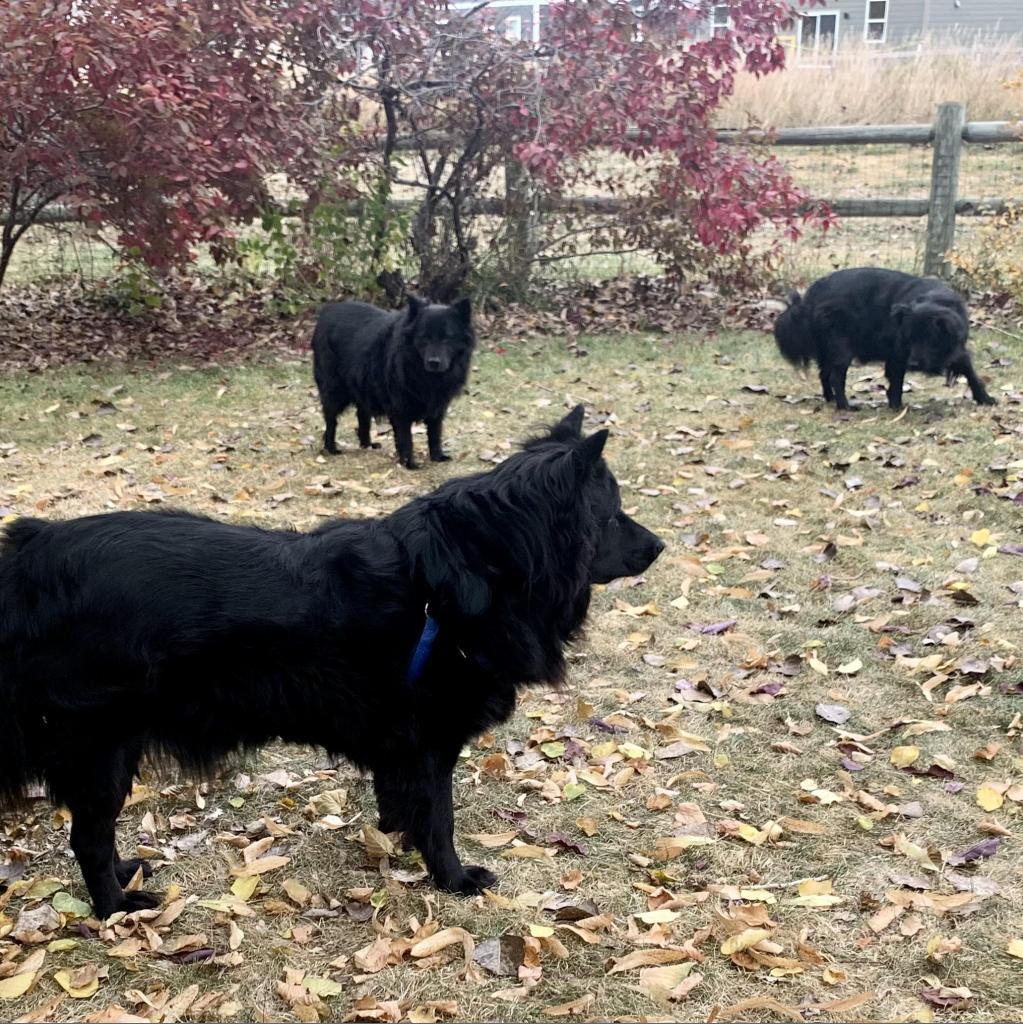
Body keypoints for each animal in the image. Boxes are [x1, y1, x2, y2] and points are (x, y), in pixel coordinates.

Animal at [0, 405, 663, 921]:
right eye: (613, 514)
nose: (659, 546)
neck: (472, 569)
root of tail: (30, 556)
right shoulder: (430, 743)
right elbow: (441, 818)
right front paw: (452, 878)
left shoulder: (401, 747)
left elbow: (403, 805)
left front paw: (398, 843)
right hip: (102, 746)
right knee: (87, 836)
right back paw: (115, 907)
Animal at [311, 294, 475, 468]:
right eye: (423, 337)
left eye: (447, 338)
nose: (433, 362)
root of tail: (326, 311)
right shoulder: (400, 409)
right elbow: (405, 438)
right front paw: (409, 463)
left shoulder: (438, 408)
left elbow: (435, 433)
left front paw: (437, 456)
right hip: (334, 391)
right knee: (331, 421)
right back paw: (331, 448)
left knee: (362, 414)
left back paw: (367, 444)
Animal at [770, 268, 995, 411]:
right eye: (910, 338)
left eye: (930, 339)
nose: (914, 364)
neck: (934, 300)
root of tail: (809, 298)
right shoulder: (898, 354)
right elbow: (896, 381)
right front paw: (896, 406)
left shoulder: (957, 349)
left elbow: (971, 372)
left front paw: (985, 398)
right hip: (841, 348)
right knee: (835, 377)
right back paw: (845, 406)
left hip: (826, 349)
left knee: (824, 375)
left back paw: (830, 399)